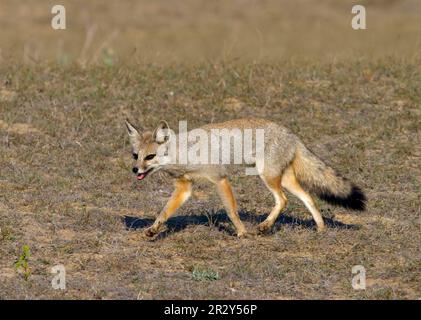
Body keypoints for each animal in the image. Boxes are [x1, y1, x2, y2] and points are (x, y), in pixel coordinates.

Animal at [124, 117, 364, 238]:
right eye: (135, 156)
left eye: (150, 157)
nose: (135, 170)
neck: (184, 153)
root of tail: (292, 134)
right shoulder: (185, 187)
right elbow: (164, 212)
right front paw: (154, 230)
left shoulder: (220, 178)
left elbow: (231, 210)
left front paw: (241, 232)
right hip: (284, 179)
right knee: (308, 198)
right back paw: (320, 228)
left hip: (268, 176)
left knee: (283, 200)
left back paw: (265, 226)